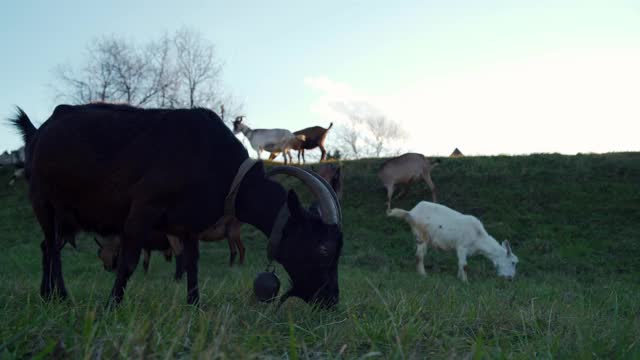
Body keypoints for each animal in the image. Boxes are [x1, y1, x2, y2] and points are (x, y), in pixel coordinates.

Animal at [388, 202, 516, 282]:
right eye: (513, 262)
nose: (511, 278)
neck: (479, 237)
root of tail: (410, 212)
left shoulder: (460, 250)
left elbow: (460, 264)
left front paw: (460, 278)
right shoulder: (462, 246)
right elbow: (464, 265)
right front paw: (465, 281)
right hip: (421, 236)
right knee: (419, 256)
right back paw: (423, 275)